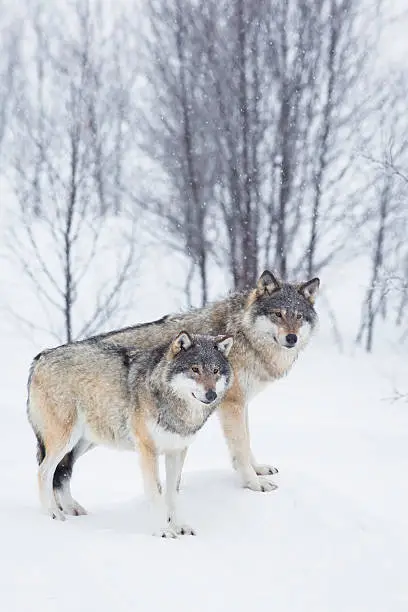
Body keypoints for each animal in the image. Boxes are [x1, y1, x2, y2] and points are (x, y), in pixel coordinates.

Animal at [27, 272, 318, 502]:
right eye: (278, 315)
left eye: (298, 317)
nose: (291, 338)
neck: (242, 334)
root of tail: (38, 360)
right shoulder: (231, 406)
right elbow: (241, 447)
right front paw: (254, 484)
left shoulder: (240, 404)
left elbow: (247, 443)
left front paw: (258, 469)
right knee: (50, 471)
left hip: (89, 438)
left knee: (60, 474)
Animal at [27, 330, 233, 536]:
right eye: (195, 369)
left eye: (215, 371)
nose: (211, 395)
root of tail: (40, 357)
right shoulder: (148, 449)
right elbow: (156, 491)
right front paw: (163, 530)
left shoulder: (177, 451)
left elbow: (173, 493)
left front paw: (180, 526)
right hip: (65, 440)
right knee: (43, 472)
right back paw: (53, 514)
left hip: (84, 443)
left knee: (62, 471)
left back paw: (72, 509)